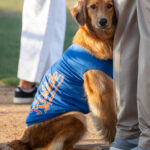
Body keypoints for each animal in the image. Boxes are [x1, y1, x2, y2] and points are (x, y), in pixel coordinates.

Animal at [7, 0, 117, 149]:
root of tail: (25, 138)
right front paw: (115, 141)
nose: (102, 21)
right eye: (92, 6)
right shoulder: (101, 93)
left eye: (109, 6)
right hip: (76, 116)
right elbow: (110, 120)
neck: (100, 40)